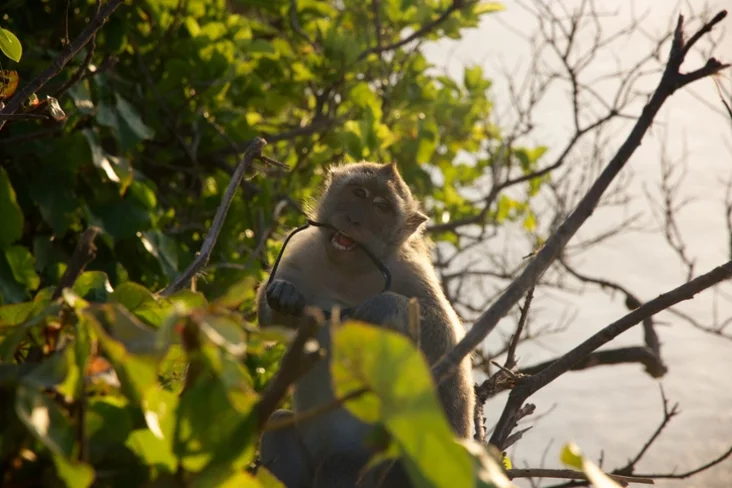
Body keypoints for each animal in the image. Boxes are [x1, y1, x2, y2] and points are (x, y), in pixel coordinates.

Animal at [257, 161, 475, 487]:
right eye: (358, 193)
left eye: (382, 207)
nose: (354, 219)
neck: (348, 271)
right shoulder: (301, 252)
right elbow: (268, 323)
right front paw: (285, 294)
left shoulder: (410, 271)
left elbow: (444, 336)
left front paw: (380, 306)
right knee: (279, 422)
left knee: (340, 465)